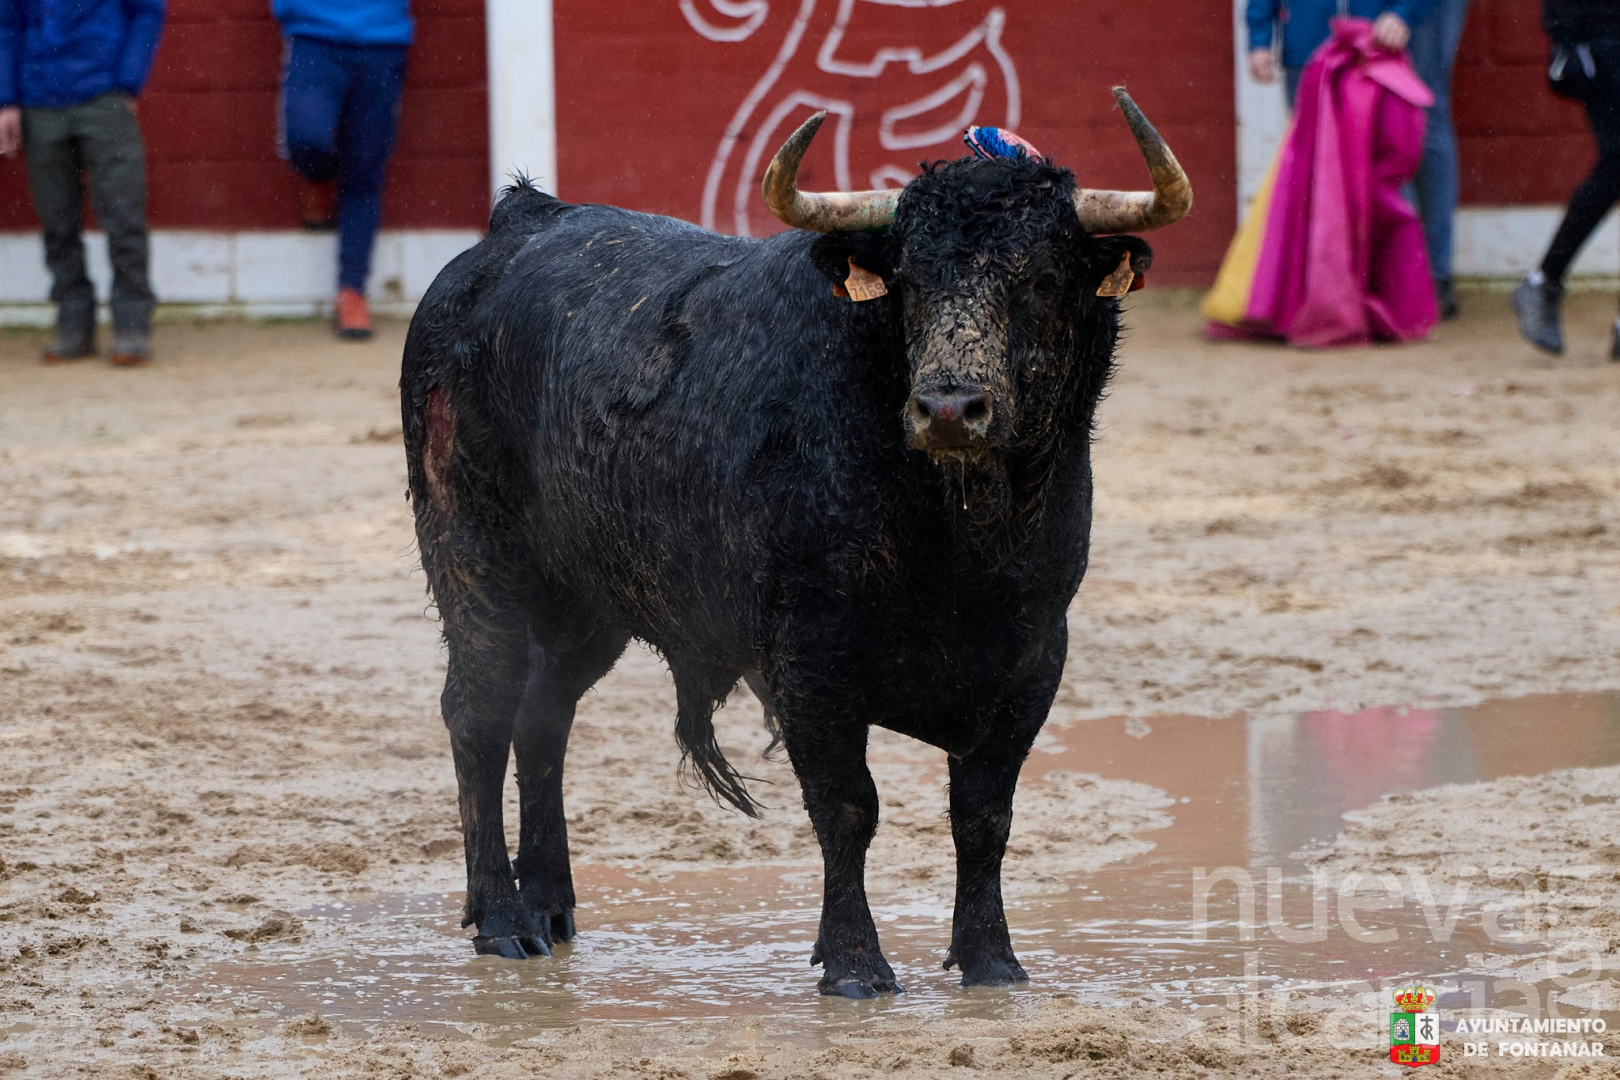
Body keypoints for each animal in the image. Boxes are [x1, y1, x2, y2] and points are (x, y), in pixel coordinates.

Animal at [400, 88, 1191, 998]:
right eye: (908, 283)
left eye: (1043, 281)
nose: (948, 408)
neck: (959, 535)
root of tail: (517, 226)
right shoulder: (812, 658)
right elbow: (848, 806)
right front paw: (853, 965)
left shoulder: (1033, 657)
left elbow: (984, 814)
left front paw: (992, 960)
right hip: (475, 561)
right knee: (481, 713)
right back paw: (502, 920)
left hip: (588, 602)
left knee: (544, 717)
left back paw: (552, 906)